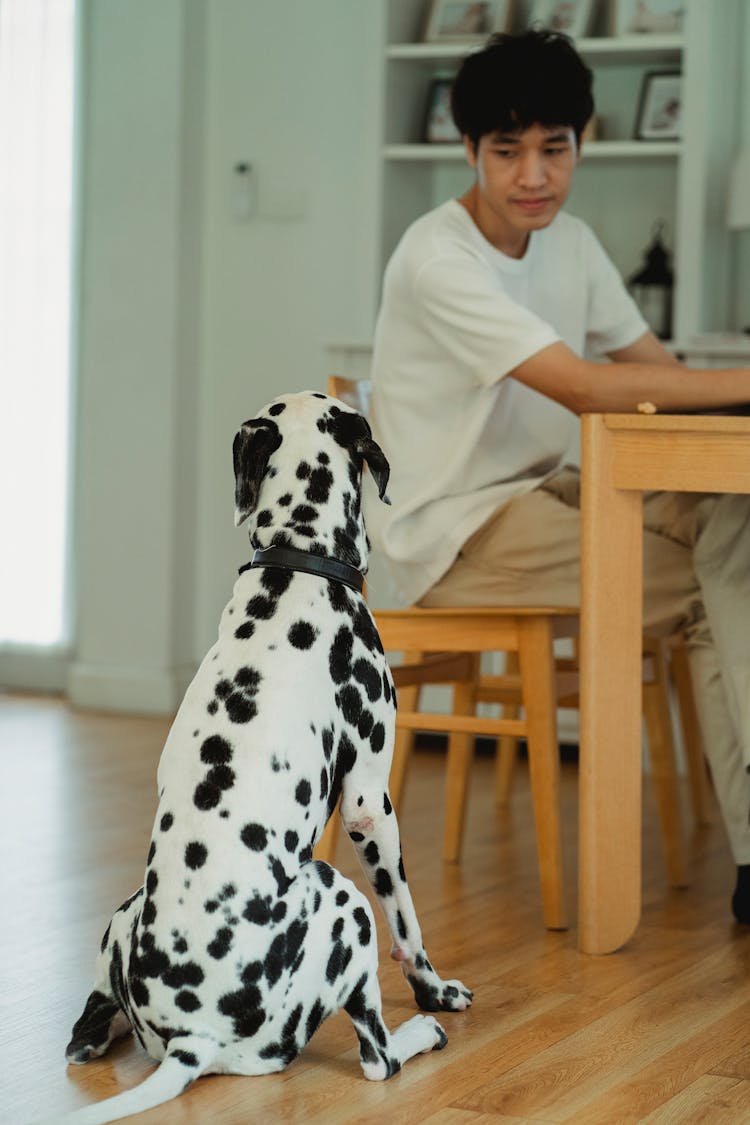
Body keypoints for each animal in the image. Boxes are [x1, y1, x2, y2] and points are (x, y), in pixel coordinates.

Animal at [66, 391, 474, 1120]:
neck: (298, 563)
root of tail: (193, 1036)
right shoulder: (372, 806)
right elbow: (410, 922)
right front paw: (436, 989)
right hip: (344, 899)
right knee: (379, 1055)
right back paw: (423, 1030)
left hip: (121, 916)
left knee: (82, 1031)